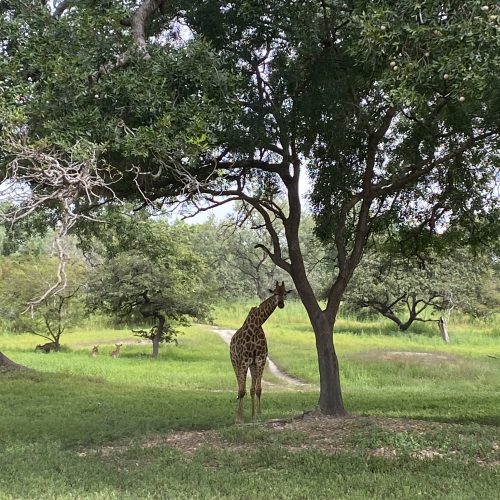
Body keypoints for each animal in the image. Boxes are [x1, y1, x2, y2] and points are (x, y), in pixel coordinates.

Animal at [229, 280, 292, 424]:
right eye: (275, 293)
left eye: (285, 293)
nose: (281, 304)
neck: (256, 325)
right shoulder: (245, 360)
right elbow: (242, 390)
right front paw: (239, 419)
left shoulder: (260, 359)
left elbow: (258, 389)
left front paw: (257, 416)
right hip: (235, 361)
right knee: (239, 386)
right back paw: (238, 416)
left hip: (252, 365)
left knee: (251, 389)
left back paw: (251, 415)